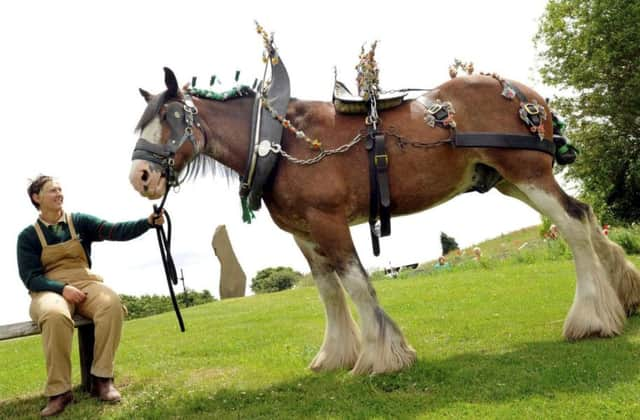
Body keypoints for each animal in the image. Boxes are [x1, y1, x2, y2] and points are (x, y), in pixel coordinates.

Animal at [129, 67, 640, 376]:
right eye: (142, 123)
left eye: (172, 118)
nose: (140, 177)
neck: (278, 140)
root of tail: (532, 97)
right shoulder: (304, 234)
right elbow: (329, 291)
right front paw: (335, 354)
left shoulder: (329, 222)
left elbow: (356, 284)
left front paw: (383, 355)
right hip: (510, 180)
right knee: (587, 216)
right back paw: (624, 295)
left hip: (528, 175)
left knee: (572, 225)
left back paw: (591, 318)